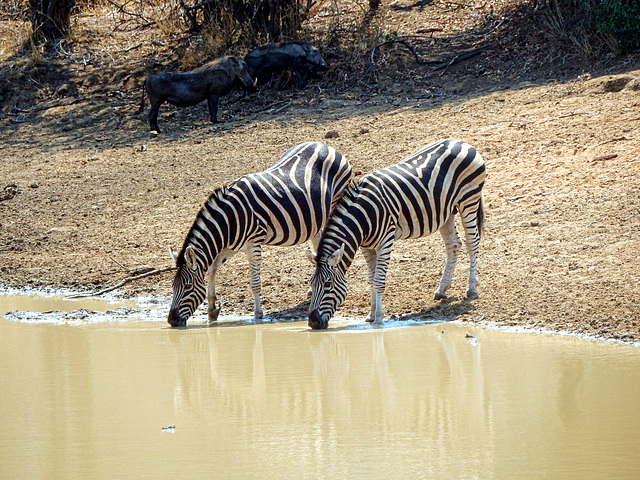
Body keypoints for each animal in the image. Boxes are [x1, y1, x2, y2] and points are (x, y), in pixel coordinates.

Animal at [168, 142, 352, 326]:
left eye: (187, 286)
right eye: (173, 285)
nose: (171, 320)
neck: (230, 219)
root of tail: (323, 145)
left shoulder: (253, 243)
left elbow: (255, 281)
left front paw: (257, 314)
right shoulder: (231, 246)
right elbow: (212, 269)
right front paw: (212, 308)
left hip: (336, 201)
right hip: (315, 219)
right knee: (317, 240)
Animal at [306, 139, 484, 330]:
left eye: (327, 285)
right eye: (311, 284)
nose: (313, 322)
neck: (362, 217)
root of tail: (460, 142)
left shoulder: (385, 241)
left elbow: (378, 281)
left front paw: (378, 318)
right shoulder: (366, 246)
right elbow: (371, 278)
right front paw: (371, 315)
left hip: (469, 200)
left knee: (472, 242)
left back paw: (471, 288)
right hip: (446, 211)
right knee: (454, 244)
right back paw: (442, 289)